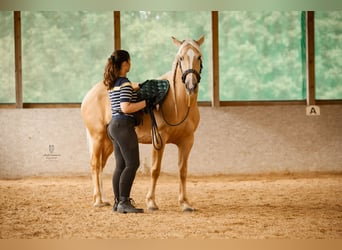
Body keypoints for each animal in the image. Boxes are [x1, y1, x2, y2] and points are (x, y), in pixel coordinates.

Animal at [81, 35, 203, 211]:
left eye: (199, 57)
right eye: (181, 58)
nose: (191, 85)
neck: (177, 103)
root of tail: (89, 94)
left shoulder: (187, 141)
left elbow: (183, 171)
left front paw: (185, 203)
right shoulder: (159, 139)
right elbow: (155, 170)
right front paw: (151, 202)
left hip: (109, 142)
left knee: (101, 166)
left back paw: (104, 199)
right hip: (97, 137)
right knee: (95, 165)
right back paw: (97, 200)